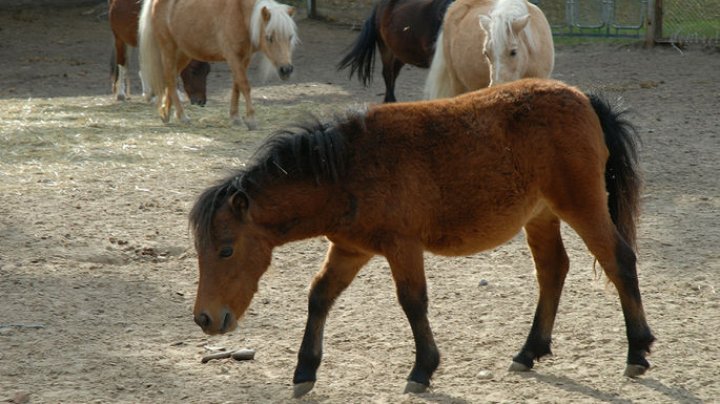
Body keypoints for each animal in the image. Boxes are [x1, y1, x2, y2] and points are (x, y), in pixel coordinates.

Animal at [138, 0, 298, 129]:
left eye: (290, 37)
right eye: (269, 37)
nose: (286, 70)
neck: (241, 15)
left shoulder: (244, 59)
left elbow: (237, 86)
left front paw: (235, 118)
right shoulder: (233, 57)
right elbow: (244, 85)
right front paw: (251, 119)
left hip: (184, 53)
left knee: (170, 78)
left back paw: (166, 112)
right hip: (168, 49)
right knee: (170, 79)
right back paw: (182, 116)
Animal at [188, 79, 656, 398]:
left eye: (226, 250)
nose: (206, 319)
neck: (346, 169)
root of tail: (583, 98)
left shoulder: (402, 247)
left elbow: (413, 302)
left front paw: (423, 369)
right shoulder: (350, 250)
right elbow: (319, 296)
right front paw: (305, 371)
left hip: (582, 207)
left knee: (618, 260)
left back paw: (637, 352)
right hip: (540, 217)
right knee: (553, 270)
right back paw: (529, 351)